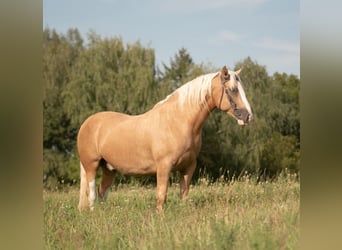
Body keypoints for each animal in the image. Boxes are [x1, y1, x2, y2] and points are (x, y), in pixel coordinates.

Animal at [79, 65, 252, 212]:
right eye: (233, 90)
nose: (248, 116)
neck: (178, 121)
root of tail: (87, 123)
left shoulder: (188, 167)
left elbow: (184, 195)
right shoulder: (164, 167)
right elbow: (161, 195)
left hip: (109, 168)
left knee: (102, 192)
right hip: (91, 165)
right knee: (92, 194)